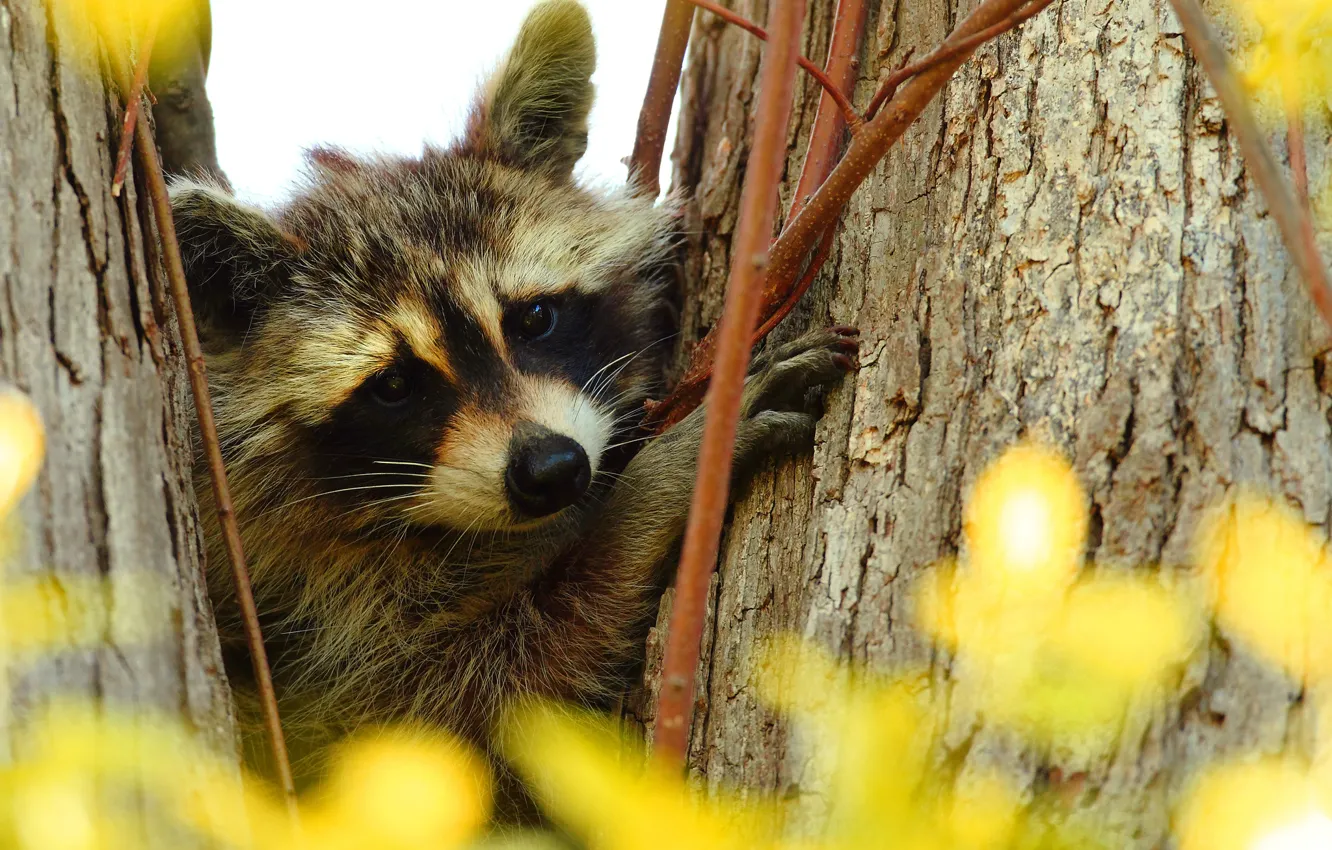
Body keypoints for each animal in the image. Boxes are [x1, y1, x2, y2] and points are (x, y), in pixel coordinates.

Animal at [171, 0, 857, 804]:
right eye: (394, 386)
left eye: (534, 318)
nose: (552, 471)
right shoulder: (301, 605)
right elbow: (462, 701)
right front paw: (658, 487)